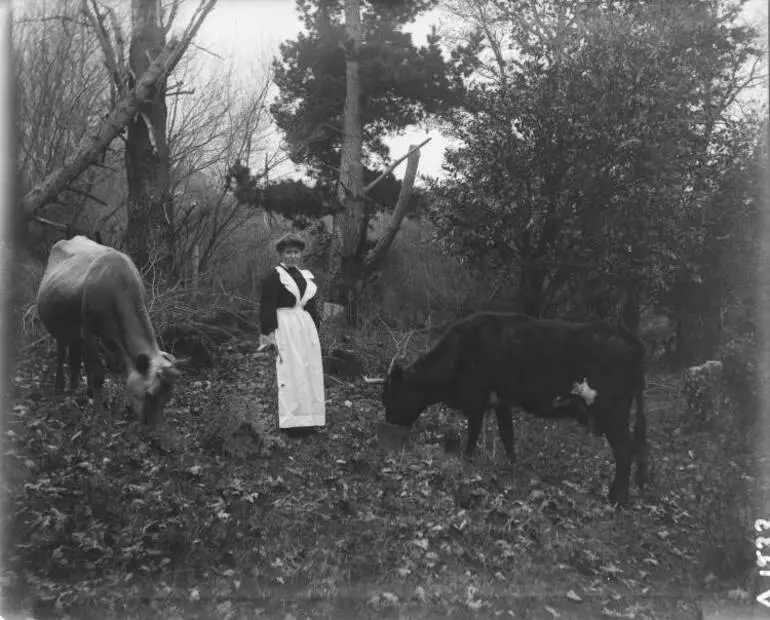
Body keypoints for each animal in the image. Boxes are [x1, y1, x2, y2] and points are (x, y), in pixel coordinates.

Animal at [38, 235, 184, 424]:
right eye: (150, 394)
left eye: (168, 398)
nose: (152, 427)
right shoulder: (88, 329)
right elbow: (98, 374)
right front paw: (99, 413)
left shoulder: (113, 336)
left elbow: (117, 368)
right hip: (61, 326)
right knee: (62, 351)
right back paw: (60, 387)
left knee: (78, 355)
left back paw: (80, 388)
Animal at [378, 312, 648, 506]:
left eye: (392, 395)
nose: (389, 420)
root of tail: (630, 339)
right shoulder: (502, 402)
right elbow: (507, 435)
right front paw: (512, 466)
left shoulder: (476, 401)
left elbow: (473, 434)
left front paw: (467, 460)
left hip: (610, 411)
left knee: (624, 450)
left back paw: (618, 499)